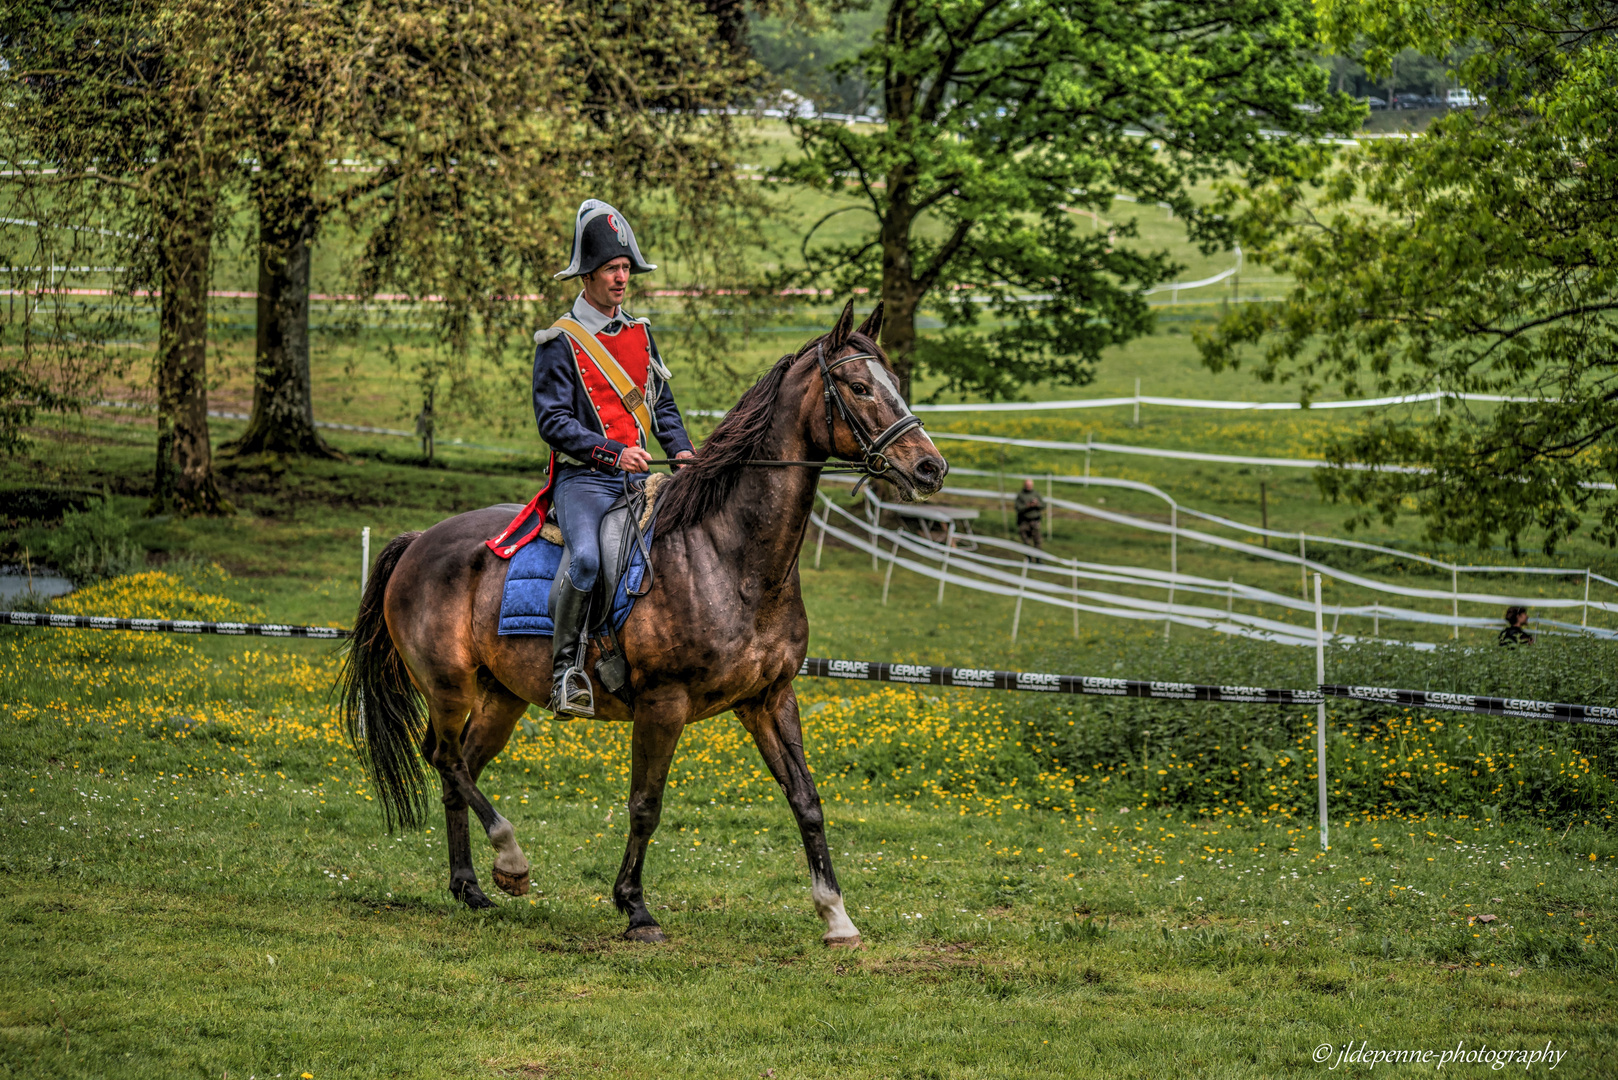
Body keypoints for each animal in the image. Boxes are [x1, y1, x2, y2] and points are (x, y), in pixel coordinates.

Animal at [341, 297, 944, 945]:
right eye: (859, 387)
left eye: (894, 382)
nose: (930, 468)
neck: (728, 556)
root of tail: (420, 540)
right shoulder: (663, 703)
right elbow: (645, 805)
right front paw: (634, 907)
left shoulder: (769, 699)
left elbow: (806, 800)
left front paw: (835, 914)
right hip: (448, 686)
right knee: (445, 758)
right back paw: (511, 860)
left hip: (502, 696)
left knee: (462, 768)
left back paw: (472, 886)